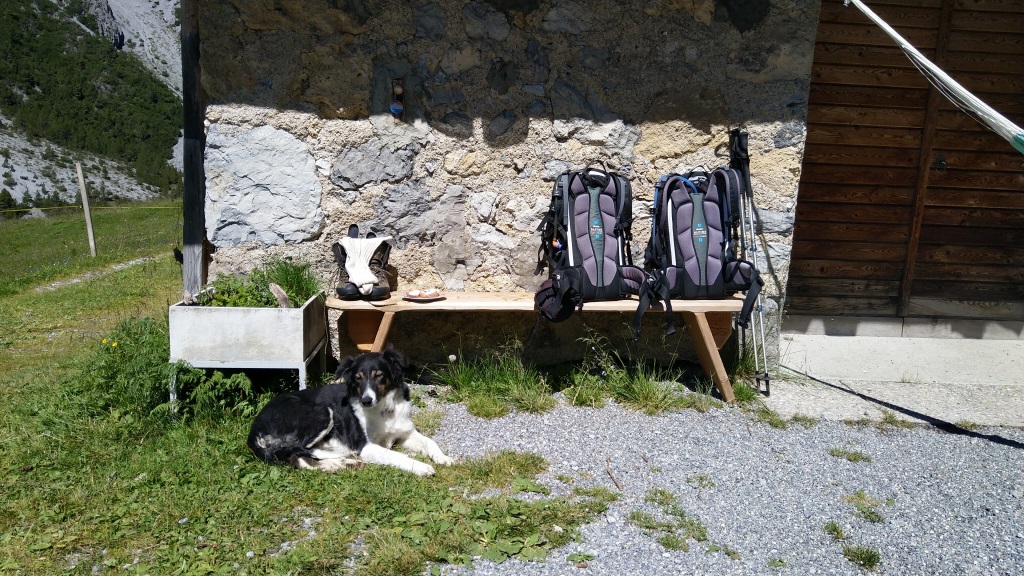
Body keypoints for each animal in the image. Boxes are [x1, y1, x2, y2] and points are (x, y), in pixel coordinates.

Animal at [247, 347, 453, 476]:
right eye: (358, 378)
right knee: (298, 451)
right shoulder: (364, 446)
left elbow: (430, 442)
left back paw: (340, 464)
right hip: (320, 413)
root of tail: (254, 430)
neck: (384, 409)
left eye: (379, 376)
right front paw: (421, 466)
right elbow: (396, 455)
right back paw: (341, 461)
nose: (366, 401)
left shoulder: (404, 432)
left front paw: (443, 458)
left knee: (297, 457)